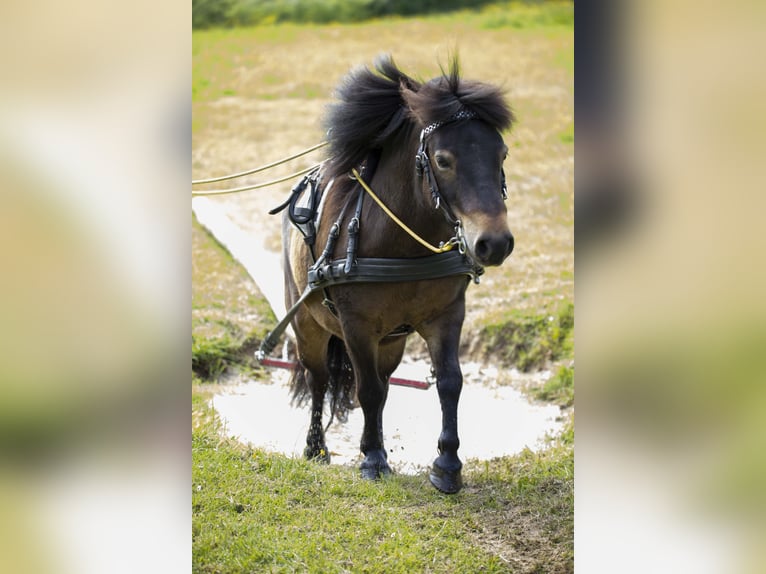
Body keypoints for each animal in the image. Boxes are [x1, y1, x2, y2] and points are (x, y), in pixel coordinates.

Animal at [282, 55, 516, 496]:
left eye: (502, 154)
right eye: (443, 160)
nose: (494, 243)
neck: (402, 244)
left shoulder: (446, 315)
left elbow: (449, 382)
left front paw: (446, 464)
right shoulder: (356, 326)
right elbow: (367, 389)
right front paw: (372, 459)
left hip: (391, 342)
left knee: (385, 383)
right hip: (308, 325)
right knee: (319, 378)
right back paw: (317, 448)